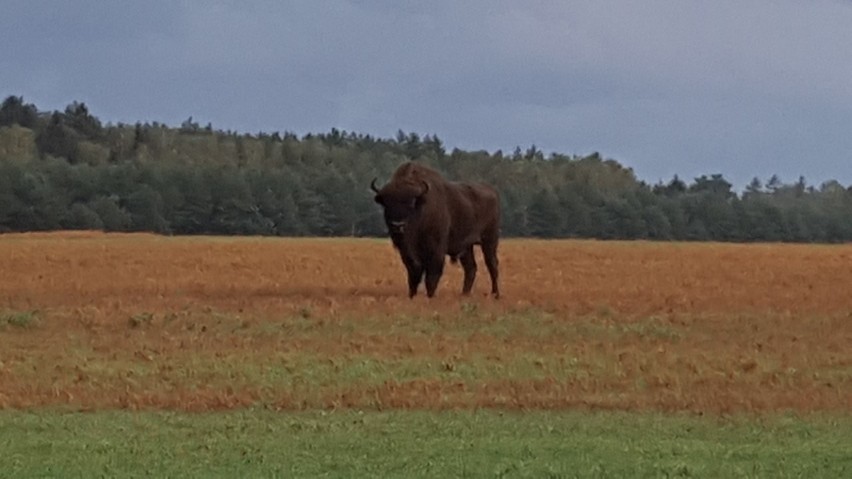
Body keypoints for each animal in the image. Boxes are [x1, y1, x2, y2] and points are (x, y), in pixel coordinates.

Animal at [372, 165, 502, 300]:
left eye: (412, 202)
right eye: (387, 203)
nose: (398, 225)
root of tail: (492, 192)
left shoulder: (436, 250)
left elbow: (431, 276)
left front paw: (430, 296)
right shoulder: (407, 253)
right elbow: (413, 275)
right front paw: (412, 296)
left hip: (489, 241)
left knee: (492, 265)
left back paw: (495, 294)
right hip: (467, 247)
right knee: (470, 268)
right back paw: (464, 294)